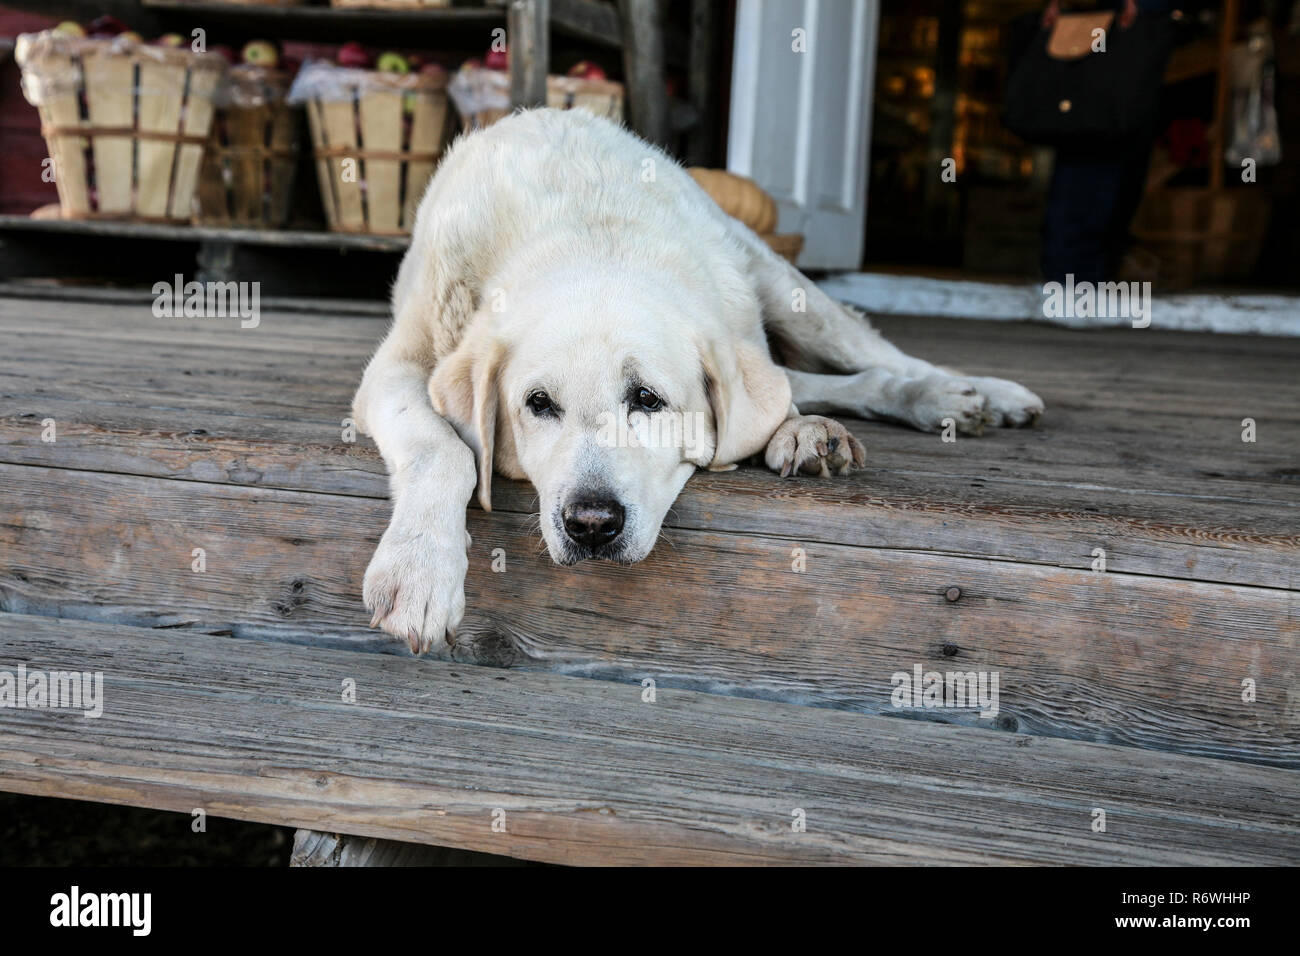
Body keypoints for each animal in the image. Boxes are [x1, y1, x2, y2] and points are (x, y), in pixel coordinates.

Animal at [351, 108, 1040, 655]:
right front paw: (419, 568)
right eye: (538, 404)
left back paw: (962, 394)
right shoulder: (397, 369)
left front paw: (804, 433)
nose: (591, 524)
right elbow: (442, 449)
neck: (588, 233)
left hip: (784, 286)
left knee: (871, 356)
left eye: (647, 400)